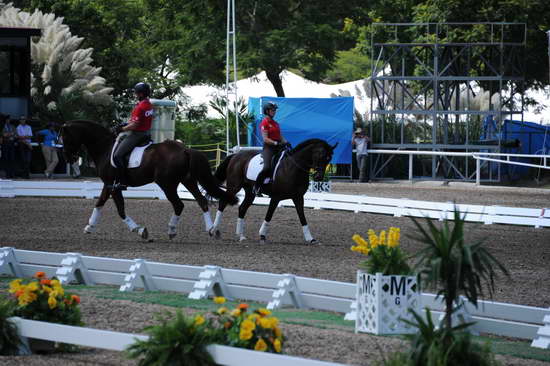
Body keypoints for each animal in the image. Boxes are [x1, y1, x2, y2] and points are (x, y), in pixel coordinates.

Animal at [61, 121, 238, 240]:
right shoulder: (109, 184)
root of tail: (185, 150)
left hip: (167, 184)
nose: (69, 158)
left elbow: (120, 210)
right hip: (188, 181)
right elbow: (99, 203)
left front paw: (139, 230)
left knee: (179, 205)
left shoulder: (114, 185)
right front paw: (89, 226)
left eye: (65, 138)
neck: (104, 147)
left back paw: (173, 230)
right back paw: (211, 229)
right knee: (201, 201)